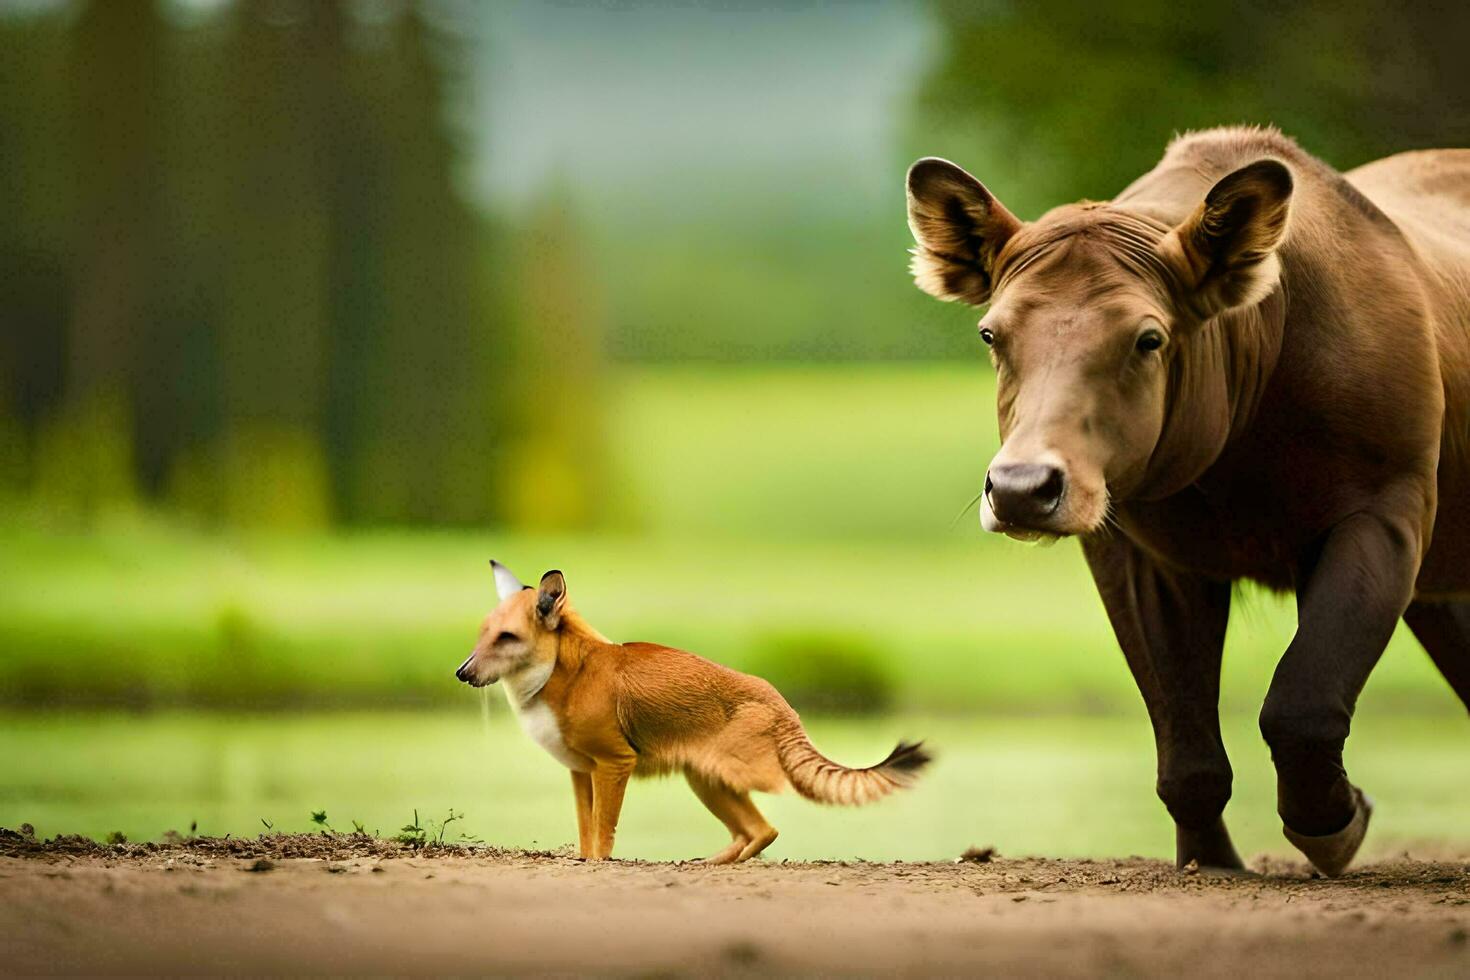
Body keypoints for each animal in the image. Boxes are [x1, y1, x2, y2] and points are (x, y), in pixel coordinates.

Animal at [452, 564, 923, 863]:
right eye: (482, 633)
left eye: (507, 637)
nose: (462, 673)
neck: (563, 674)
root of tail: (783, 707)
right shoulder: (581, 771)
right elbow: (587, 832)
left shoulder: (614, 764)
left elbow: (603, 833)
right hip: (705, 779)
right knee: (757, 831)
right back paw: (705, 863)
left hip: (721, 774)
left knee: (763, 829)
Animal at [905, 126, 1470, 875]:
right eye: (991, 334)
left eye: (1148, 338)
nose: (1023, 488)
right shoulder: (1136, 548)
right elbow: (1185, 743)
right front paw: (1211, 857)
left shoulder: (1387, 506)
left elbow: (1303, 701)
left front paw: (1338, 822)